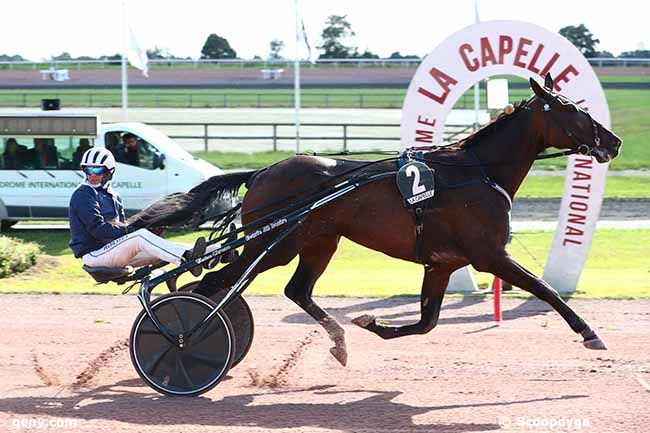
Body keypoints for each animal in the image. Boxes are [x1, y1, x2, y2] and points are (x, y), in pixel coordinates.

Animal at [129, 74, 620, 364]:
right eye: (573, 110)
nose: (613, 142)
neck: (476, 170)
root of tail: (264, 171)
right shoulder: (488, 256)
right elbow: (544, 289)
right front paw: (589, 332)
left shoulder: (442, 264)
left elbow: (427, 322)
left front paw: (372, 325)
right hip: (277, 243)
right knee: (216, 285)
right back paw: (182, 339)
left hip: (318, 240)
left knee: (291, 290)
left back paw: (336, 339)